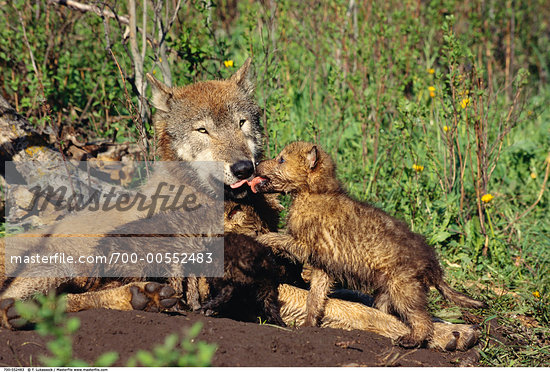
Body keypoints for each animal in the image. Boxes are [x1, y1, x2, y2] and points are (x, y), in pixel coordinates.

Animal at [0, 59, 480, 350]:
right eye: (203, 130)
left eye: (242, 123)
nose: (242, 166)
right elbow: (352, 308)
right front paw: (430, 332)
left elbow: (350, 296)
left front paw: (447, 325)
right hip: (67, 259)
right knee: (19, 307)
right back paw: (144, 298)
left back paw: (148, 298)